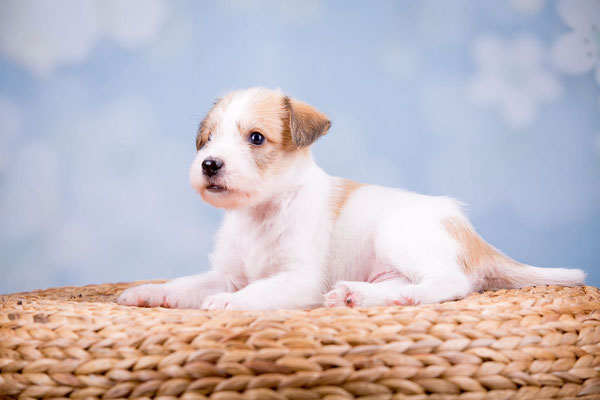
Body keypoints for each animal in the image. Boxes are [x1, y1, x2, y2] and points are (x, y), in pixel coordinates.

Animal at [118, 87, 584, 310]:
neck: (261, 213)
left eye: (256, 138)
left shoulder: (297, 279)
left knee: (451, 283)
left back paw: (404, 298)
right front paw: (148, 292)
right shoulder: (227, 273)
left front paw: (231, 304)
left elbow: (256, 292)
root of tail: (472, 235)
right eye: (208, 139)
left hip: (399, 235)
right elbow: (185, 284)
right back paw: (358, 296)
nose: (209, 164)